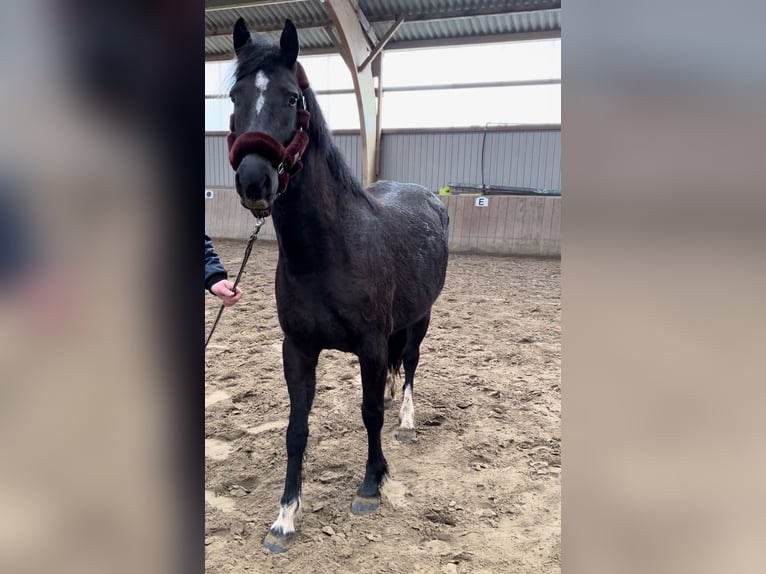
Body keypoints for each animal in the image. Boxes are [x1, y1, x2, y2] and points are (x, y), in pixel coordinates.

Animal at [228, 18, 450, 552]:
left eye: (291, 97)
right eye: (233, 96)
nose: (254, 181)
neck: (328, 252)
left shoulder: (370, 344)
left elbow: (369, 413)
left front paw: (372, 483)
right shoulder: (298, 348)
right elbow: (296, 429)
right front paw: (285, 517)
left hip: (420, 318)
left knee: (410, 365)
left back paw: (406, 420)